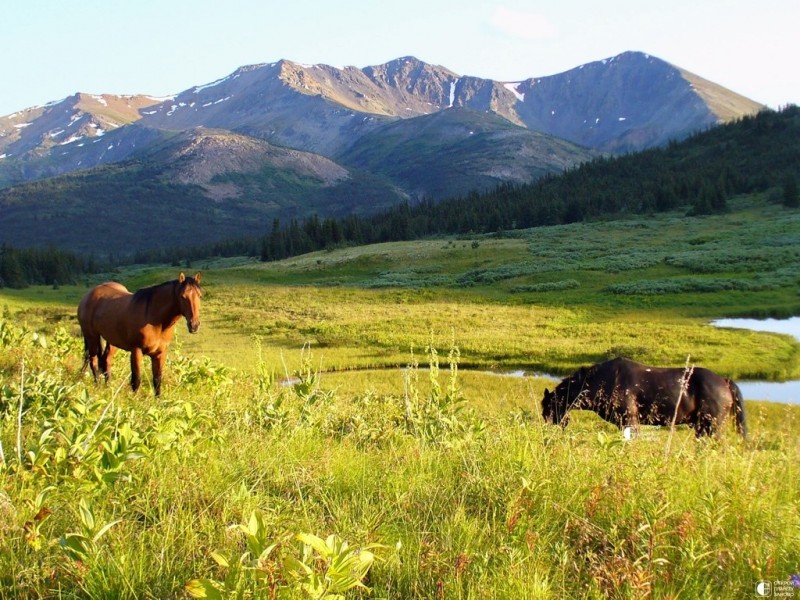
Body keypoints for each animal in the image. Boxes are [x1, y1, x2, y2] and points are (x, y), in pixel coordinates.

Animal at [540, 356, 748, 436]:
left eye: (547, 409)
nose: (550, 427)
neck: (604, 381)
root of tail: (724, 381)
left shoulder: (631, 421)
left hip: (712, 426)